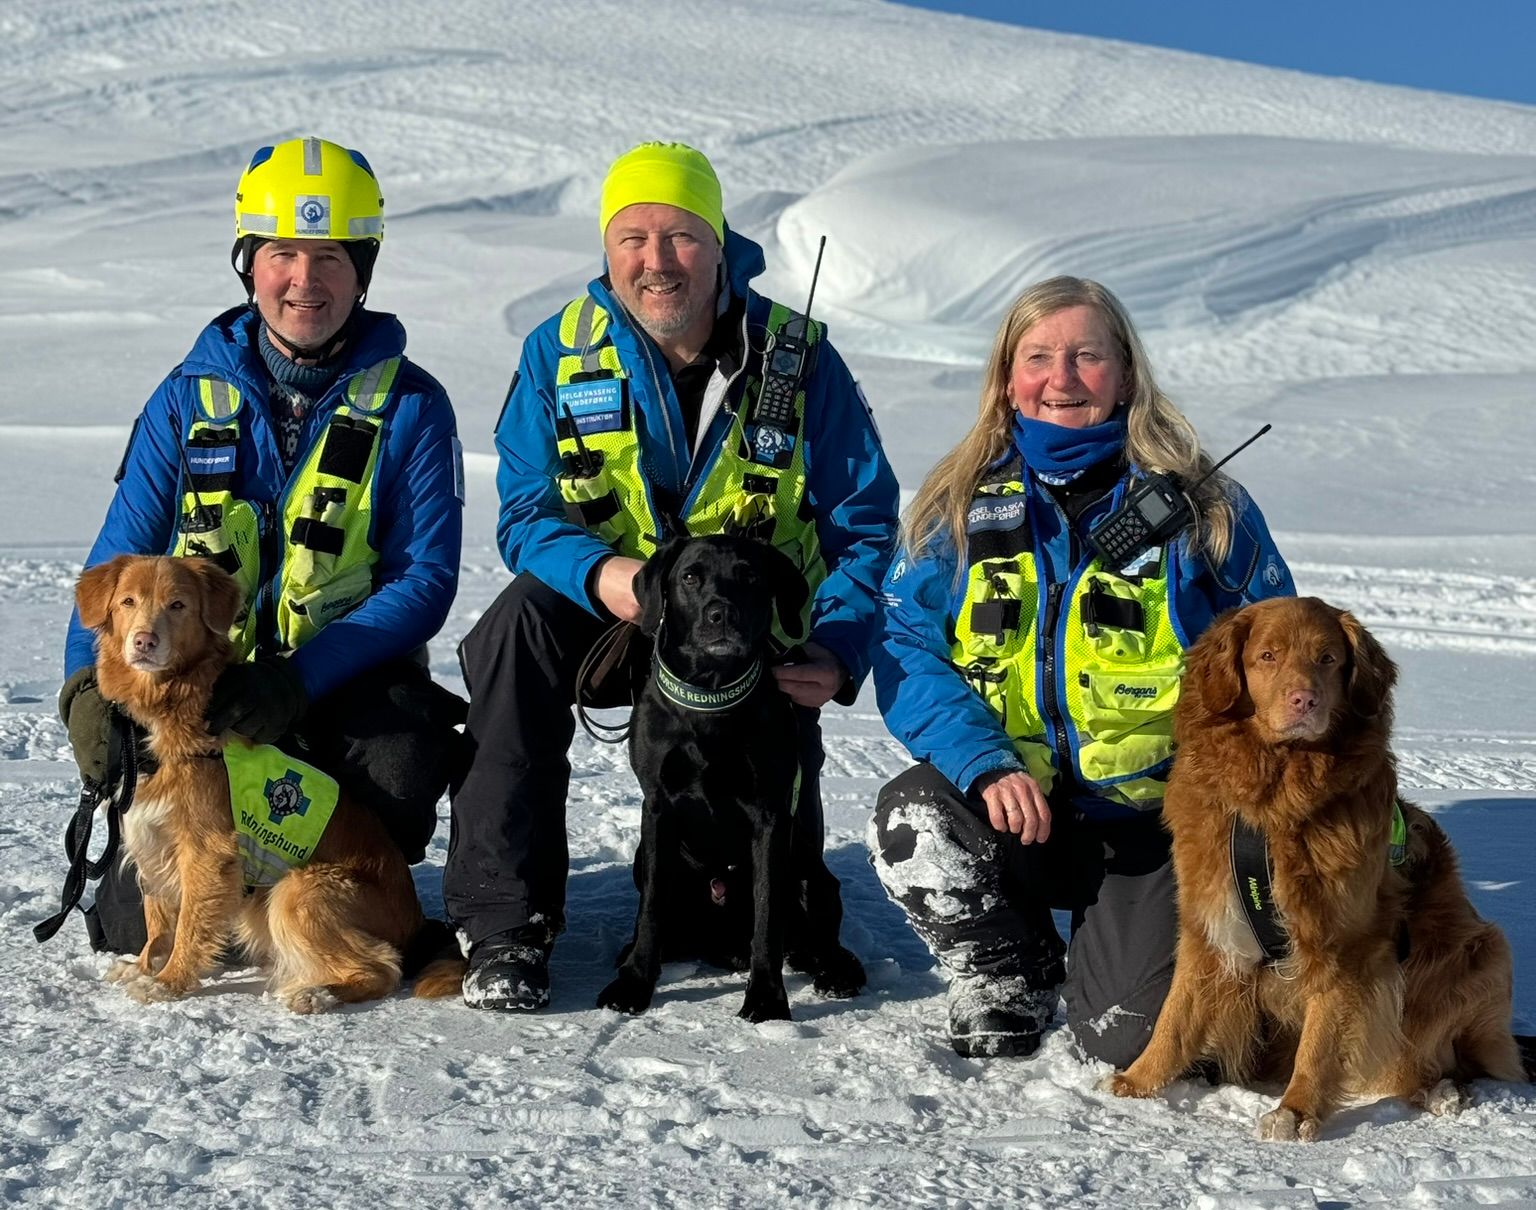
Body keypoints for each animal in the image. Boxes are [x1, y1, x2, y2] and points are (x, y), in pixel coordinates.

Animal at [76, 554, 463, 1012]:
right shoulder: (151, 839)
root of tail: (417, 921)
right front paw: (143, 966)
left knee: (383, 968)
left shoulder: (206, 851)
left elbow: (190, 923)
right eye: (128, 602)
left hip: (299, 890)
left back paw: (317, 993)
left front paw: (168, 981)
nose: (144, 641)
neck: (164, 709)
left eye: (178, 605)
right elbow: (158, 920)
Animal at [596, 534, 866, 1021]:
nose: (721, 614)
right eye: (689, 577)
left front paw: (766, 999)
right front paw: (634, 983)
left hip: (811, 876)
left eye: (751, 576)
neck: (712, 695)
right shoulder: (657, 808)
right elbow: (650, 912)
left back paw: (836, 972)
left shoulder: (769, 815)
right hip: (648, 860)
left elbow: (767, 916)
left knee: (822, 940)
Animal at [1109, 596, 1525, 1140]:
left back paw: (1440, 1091)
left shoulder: (1345, 939)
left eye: (1328, 659)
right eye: (1267, 656)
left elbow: (1323, 1036)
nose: (1304, 700)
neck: (1274, 802)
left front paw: (1296, 1110)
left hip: (1482, 950)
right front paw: (1136, 1082)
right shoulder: (1207, 923)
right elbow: (1174, 1016)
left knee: (1437, 1059)